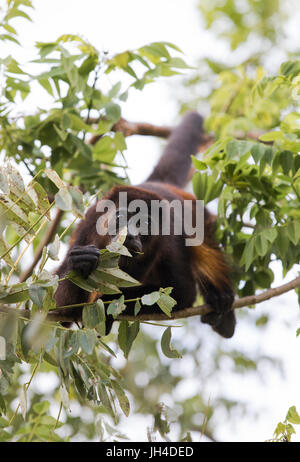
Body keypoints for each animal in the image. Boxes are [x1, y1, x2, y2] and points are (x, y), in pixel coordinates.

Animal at [54, 111, 237, 336]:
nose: (130, 235)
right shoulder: (88, 225)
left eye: (144, 223)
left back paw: (222, 311)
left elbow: (181, 293)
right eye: (121, 218)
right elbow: (58, 310)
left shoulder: (169, 240)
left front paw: (107, 304)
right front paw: (81, 260)